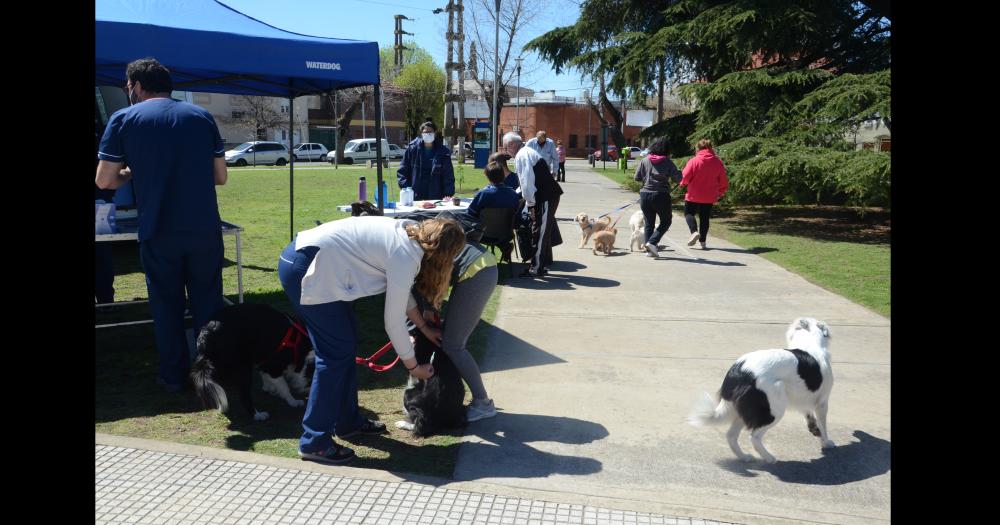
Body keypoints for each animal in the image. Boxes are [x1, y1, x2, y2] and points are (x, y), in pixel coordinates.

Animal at [688, 316, 836, 462]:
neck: (809, 343)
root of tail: (739, 373)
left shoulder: (803, 400)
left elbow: (809, 416)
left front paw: (814, 430)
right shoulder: (822, 403)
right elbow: (823, 425)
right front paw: (826, 442)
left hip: (743, 410)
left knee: (731, 435)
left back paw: (745, 457)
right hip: (773, 409)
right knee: (754, 437)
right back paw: (769, 458)